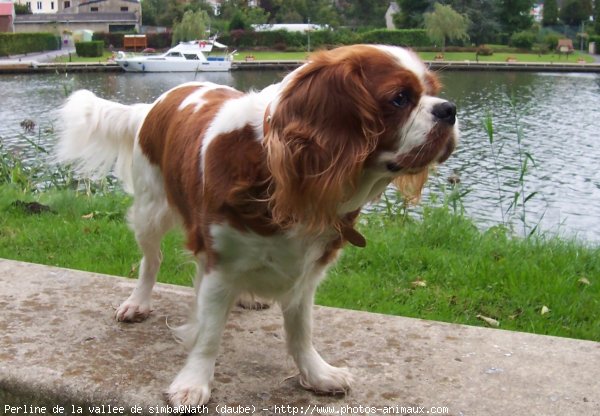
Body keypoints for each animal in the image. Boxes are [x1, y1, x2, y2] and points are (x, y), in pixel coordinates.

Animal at [57, 45, 460, 406]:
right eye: (400, 99)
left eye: (433, 90)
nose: (450, 109)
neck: (288, 177)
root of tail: (154, 104)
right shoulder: (221, 262)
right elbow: (209, 334)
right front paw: (193, 382)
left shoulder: (305, 272)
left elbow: (301, 332)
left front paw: (316, 374)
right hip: (150, 210)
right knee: (151, 260)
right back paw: (138, 301)